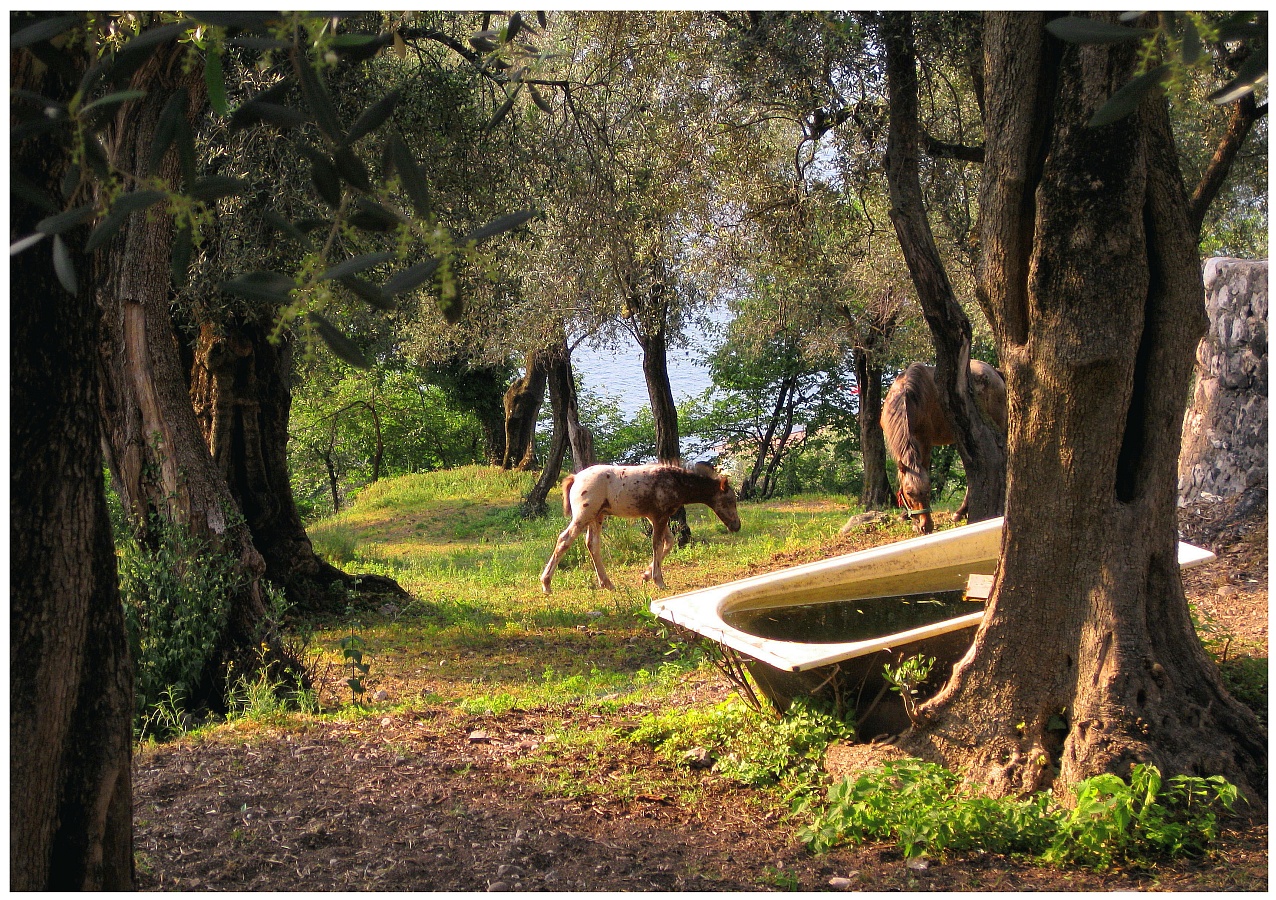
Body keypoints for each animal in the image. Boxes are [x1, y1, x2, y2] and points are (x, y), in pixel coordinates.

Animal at [535, 459, 740, 592]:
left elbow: (669, 542)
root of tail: (575, 478)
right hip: (583, 515)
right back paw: (546, 584)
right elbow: (657, 544)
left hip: (596, 516)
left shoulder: (654, 516)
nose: (736, 526)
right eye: (730, 500)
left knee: (592, 544)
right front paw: (658, 580)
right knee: (564, 539)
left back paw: (607, 583)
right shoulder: (660, 516)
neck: (675, 480)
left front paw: (646, 575)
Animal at [877, 357, 1005, 533]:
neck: (907, 397)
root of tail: (995, 373)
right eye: (909, 493)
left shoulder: (925, 442)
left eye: (928, 490)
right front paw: (904, 515)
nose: (926, 526)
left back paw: (960, 512)